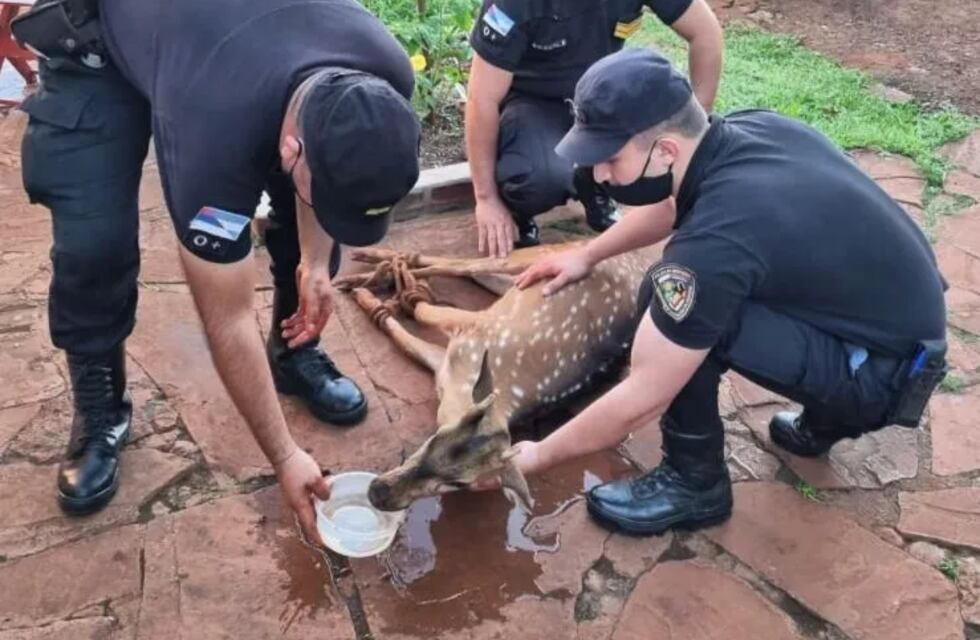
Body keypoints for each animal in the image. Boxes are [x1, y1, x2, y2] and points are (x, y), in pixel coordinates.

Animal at [332, 239, 661, 514]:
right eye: (435, 438)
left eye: (459, 483)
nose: (378, 493)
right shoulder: (475, 326)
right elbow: (419, 310)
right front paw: (388, 294)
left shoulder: (449, 360)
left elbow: (404, 338)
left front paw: (379, 299)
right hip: (544, 257)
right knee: (464, 263)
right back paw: (375, 270)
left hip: (517, 281)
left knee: (466, 269)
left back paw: (377, 273)